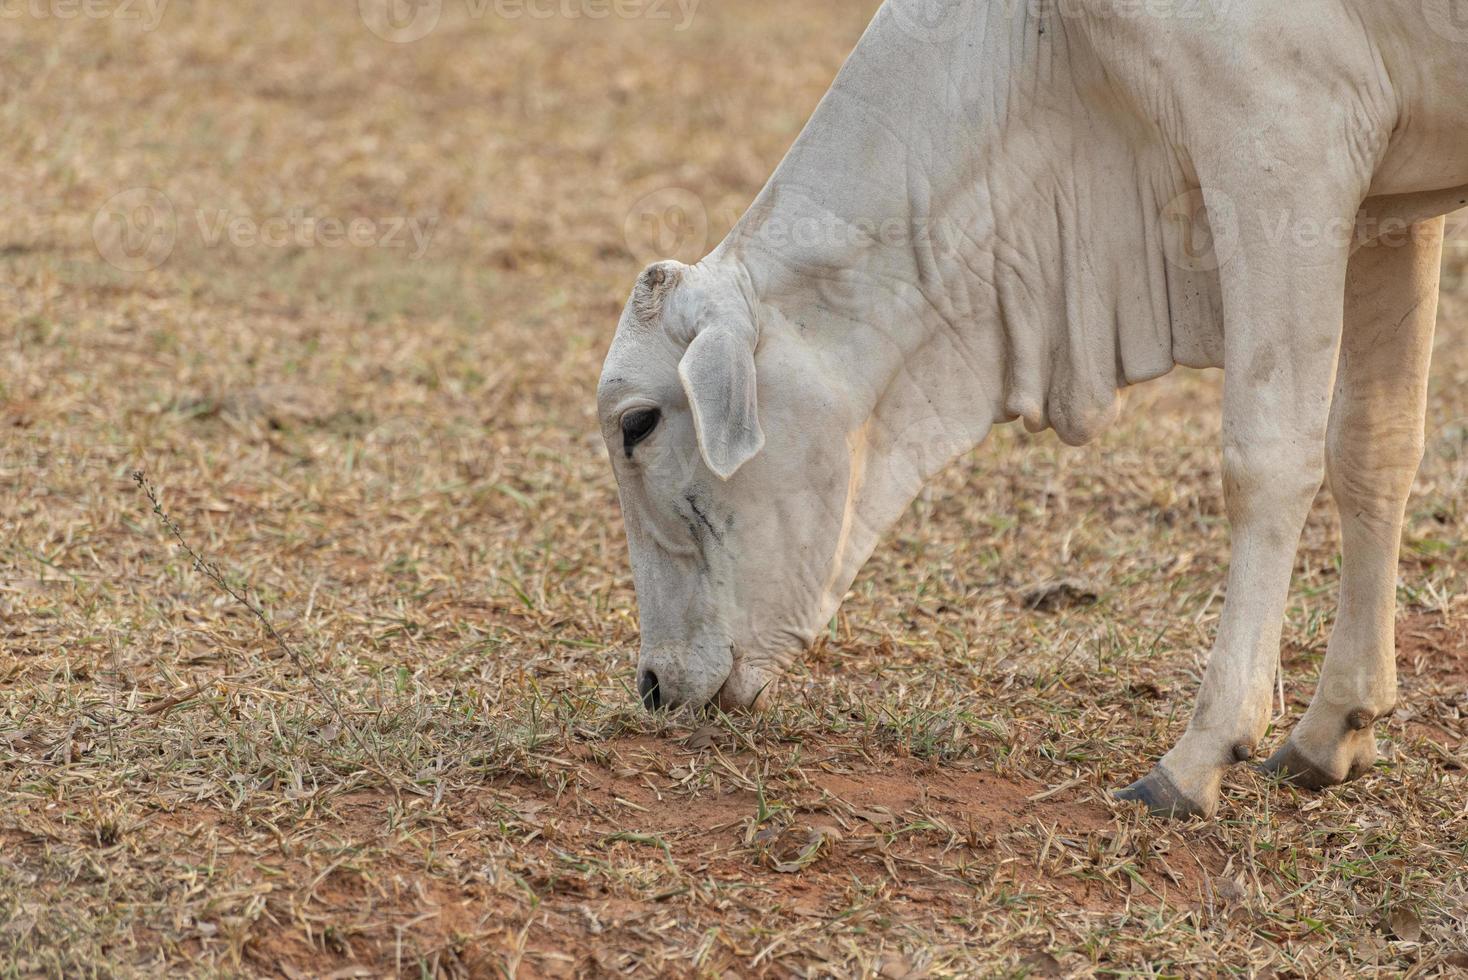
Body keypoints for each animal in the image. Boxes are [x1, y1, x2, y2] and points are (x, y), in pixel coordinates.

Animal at [593, 0, 1468, 821]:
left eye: (637, 424)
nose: (653, 684)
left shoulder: (1285, 151)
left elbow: (1267, 463)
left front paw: (1197, 757)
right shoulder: (1389, 206)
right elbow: (1373, 449)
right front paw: (1335, 727)